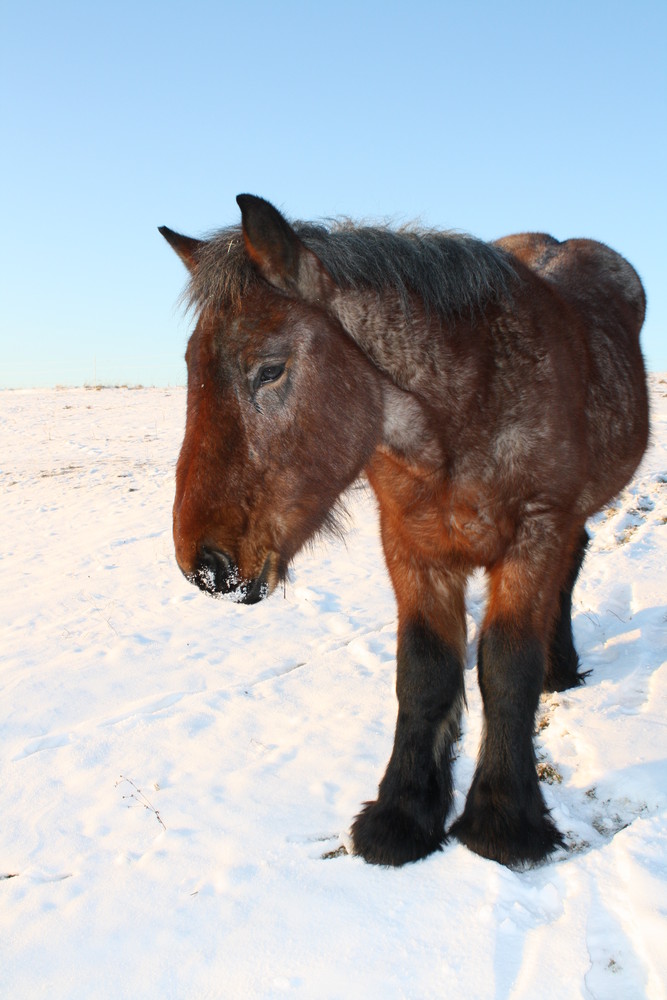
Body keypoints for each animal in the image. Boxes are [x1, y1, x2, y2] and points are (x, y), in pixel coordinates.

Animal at [159, 195, 648, 868]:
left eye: (270, 370)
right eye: (188, 365)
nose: (204, 566)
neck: (467, 413)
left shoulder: (537, 533)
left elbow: (507, 667)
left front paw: (504, 822)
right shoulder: (411, 544)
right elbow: (424, 671)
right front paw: (403, 817)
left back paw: (561, 667)